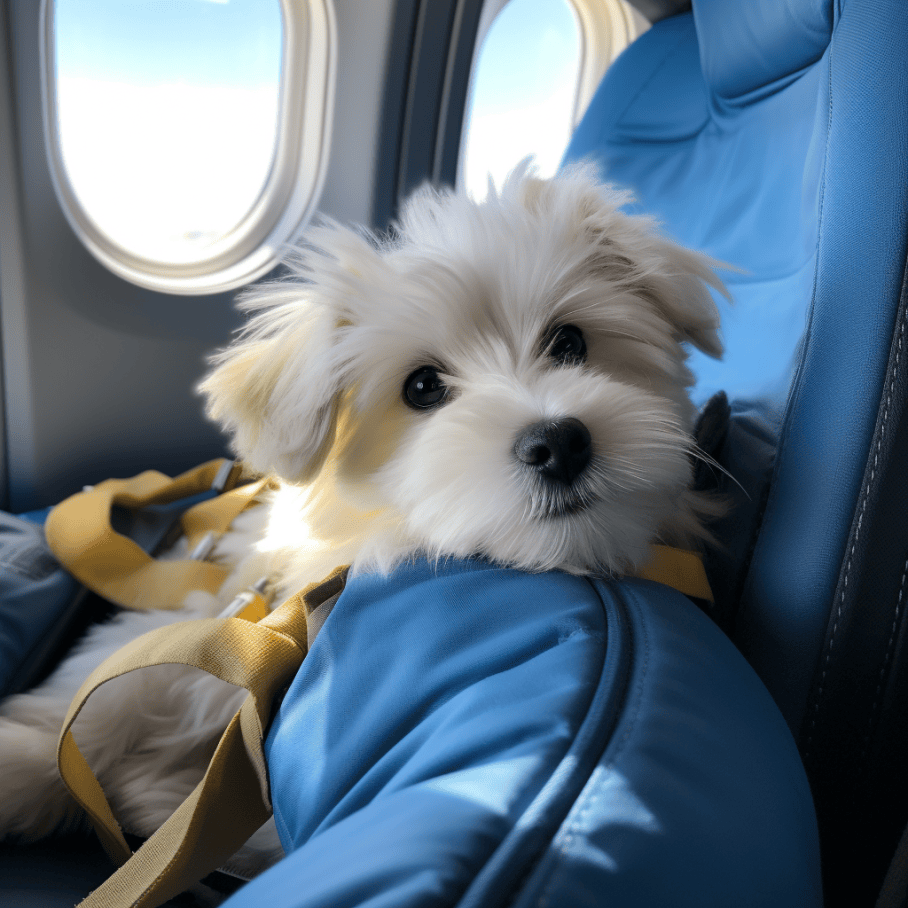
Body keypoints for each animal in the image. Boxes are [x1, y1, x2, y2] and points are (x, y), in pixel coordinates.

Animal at [0, 165, 724, 880]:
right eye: (423, 387)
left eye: (570, 342)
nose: (558, 443)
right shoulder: (226, 611)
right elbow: (113, 686)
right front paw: (25, 761)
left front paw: (155, 793)